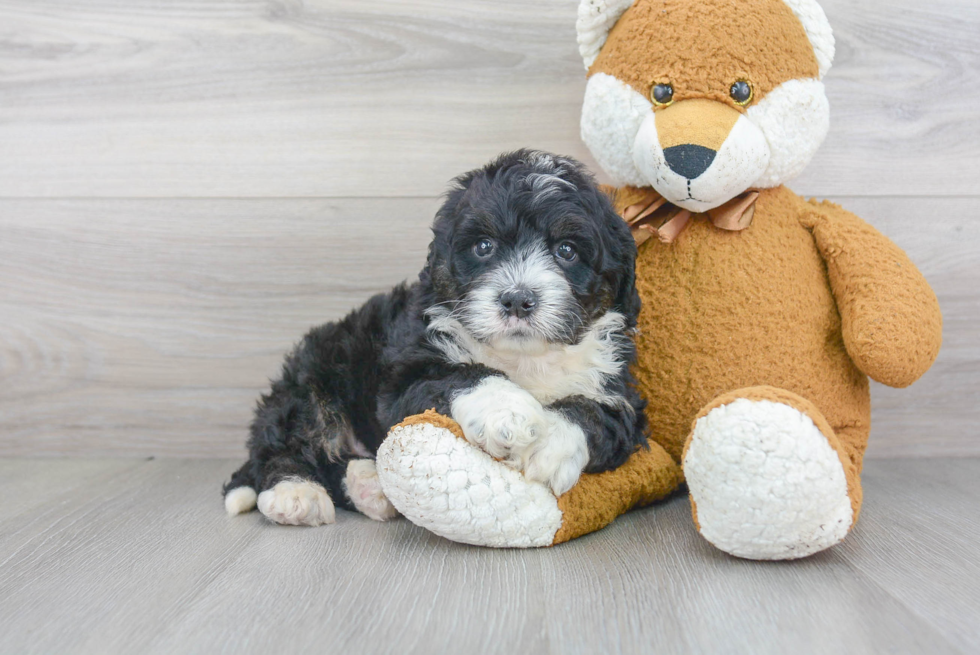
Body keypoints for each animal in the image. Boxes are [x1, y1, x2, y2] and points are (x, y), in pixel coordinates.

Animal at [225, 150, 648, 528]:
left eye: (567, 250)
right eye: (484, 246)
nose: (517, 299)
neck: (524, 359)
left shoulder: (622, 396)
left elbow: (594, 413)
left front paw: (549, 445)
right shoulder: (404, 377)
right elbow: (461, 375)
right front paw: (507, 412)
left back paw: (369, 487)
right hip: (316, 376)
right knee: (287, 444)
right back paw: (296, 493)